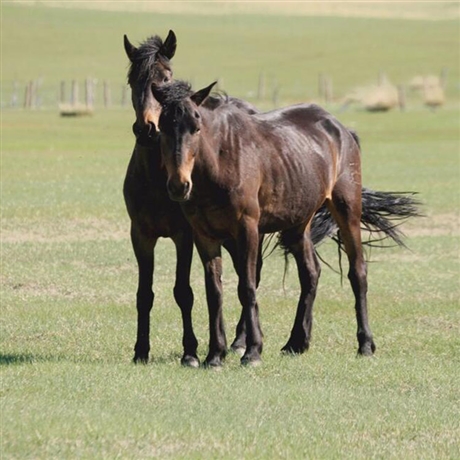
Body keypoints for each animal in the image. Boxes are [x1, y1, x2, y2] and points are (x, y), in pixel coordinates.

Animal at [152, 80, 420, 366]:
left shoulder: (247, 229)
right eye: (162, 127)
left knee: (357, 272)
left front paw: (252, 351)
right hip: (298, 225)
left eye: (197, 126)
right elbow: (214, 293)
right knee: (311, 273)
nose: (179, 185)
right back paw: (297, 341)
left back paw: (366, 344)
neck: (221, 160)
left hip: (347, 210)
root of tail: (341, 129)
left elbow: (246, 287)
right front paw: (215, 355)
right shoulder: (205, 235)